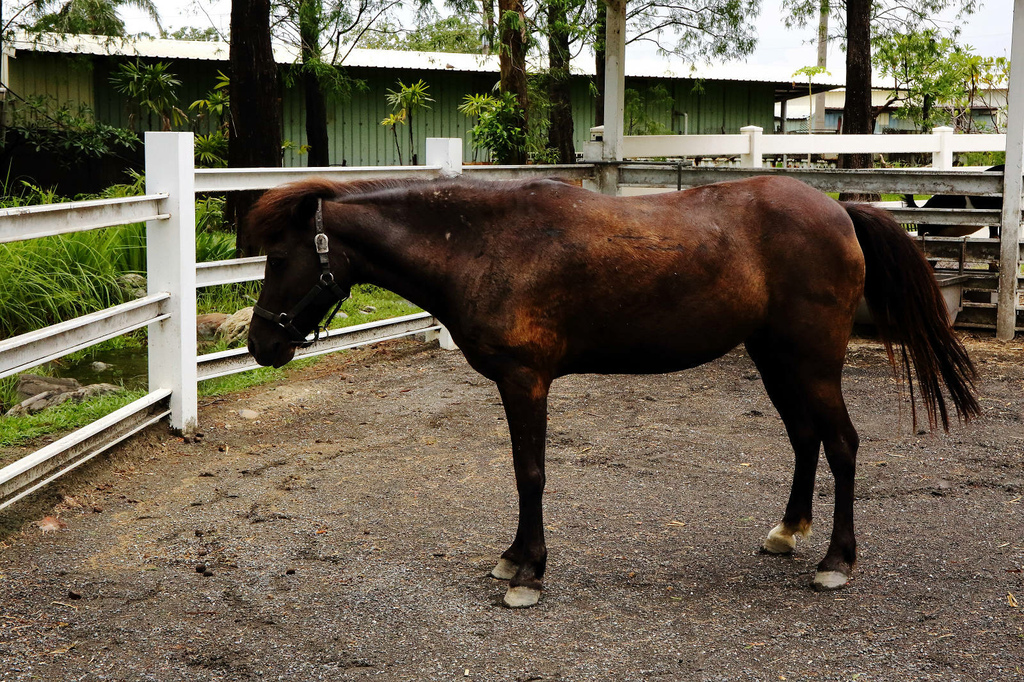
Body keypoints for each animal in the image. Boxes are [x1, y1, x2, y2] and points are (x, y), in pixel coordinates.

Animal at [243, 174, 978, 606]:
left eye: (280, 257)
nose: (260, 345)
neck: (485, 244)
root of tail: (842, 211)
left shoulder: (525, 381)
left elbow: (530, 472)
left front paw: (528, 573)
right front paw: (514, 560)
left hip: (813, 361)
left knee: (843, 444)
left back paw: (835, 561)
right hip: (777, 359)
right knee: (806, 439)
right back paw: (786, 532)